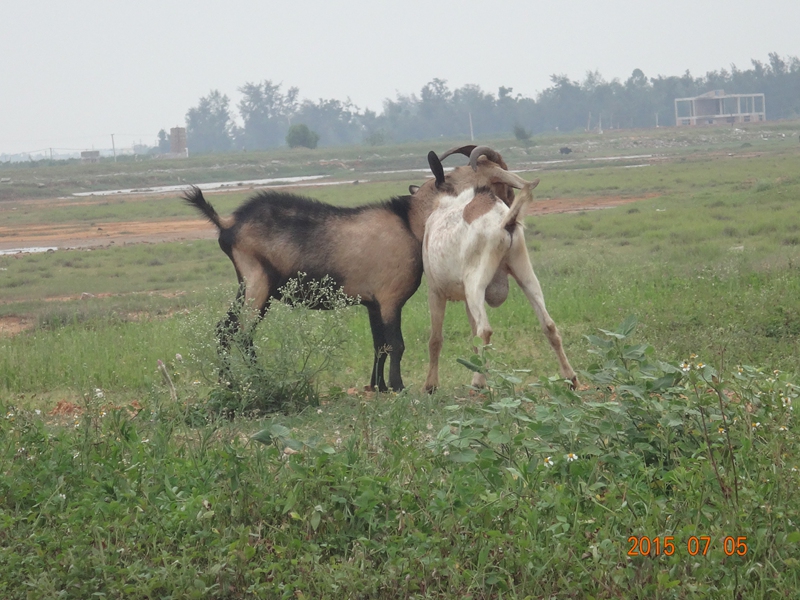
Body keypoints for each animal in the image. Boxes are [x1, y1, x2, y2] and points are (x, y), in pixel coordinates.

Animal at [418, 152, 576, 392]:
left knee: (485, 330)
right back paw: (570, 377)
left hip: (475, 284)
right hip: (524, 272)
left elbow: (436, 339)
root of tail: (504, 221)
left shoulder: (435, 291)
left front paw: (431, 385)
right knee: (548, 324)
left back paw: (480, 382)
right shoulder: (466, 299)